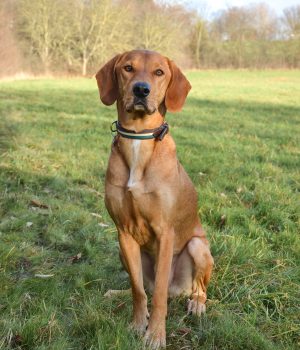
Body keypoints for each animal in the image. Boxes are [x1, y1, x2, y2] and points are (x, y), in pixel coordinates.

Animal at [96, 50, 213, 348]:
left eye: (159, 72)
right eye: (128, 68)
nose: (141, 89)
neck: (139, 139)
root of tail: (178, 291)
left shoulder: (165, 232)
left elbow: (158, 296)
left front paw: (156, 335)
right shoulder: (123, 232)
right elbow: (138, 290)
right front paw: (139, 325)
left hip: (197, 246)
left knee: (194, 289)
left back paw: (197, 303)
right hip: (123, 251)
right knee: (142, 286)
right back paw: (116, 293)